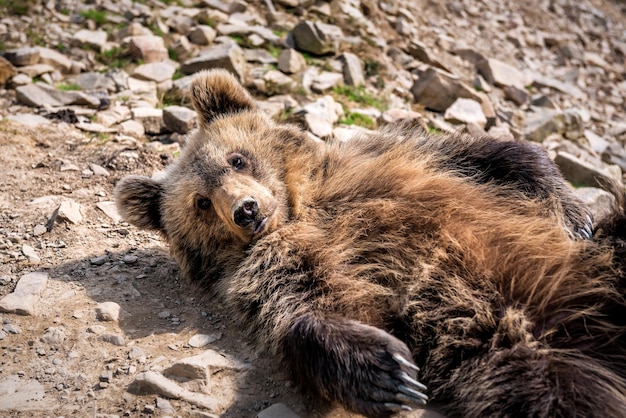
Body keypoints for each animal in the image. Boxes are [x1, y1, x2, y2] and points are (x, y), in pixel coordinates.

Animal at [114, 70, 624, 416]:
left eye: (237, 159)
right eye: (201, 202)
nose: (246, 210)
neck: (303, 204)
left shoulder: (376, 163)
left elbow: (487, 153)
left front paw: (573, 212)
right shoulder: (282, 260)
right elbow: (309, 305)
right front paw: (388, 373)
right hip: (518, 359)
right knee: (553, 393)